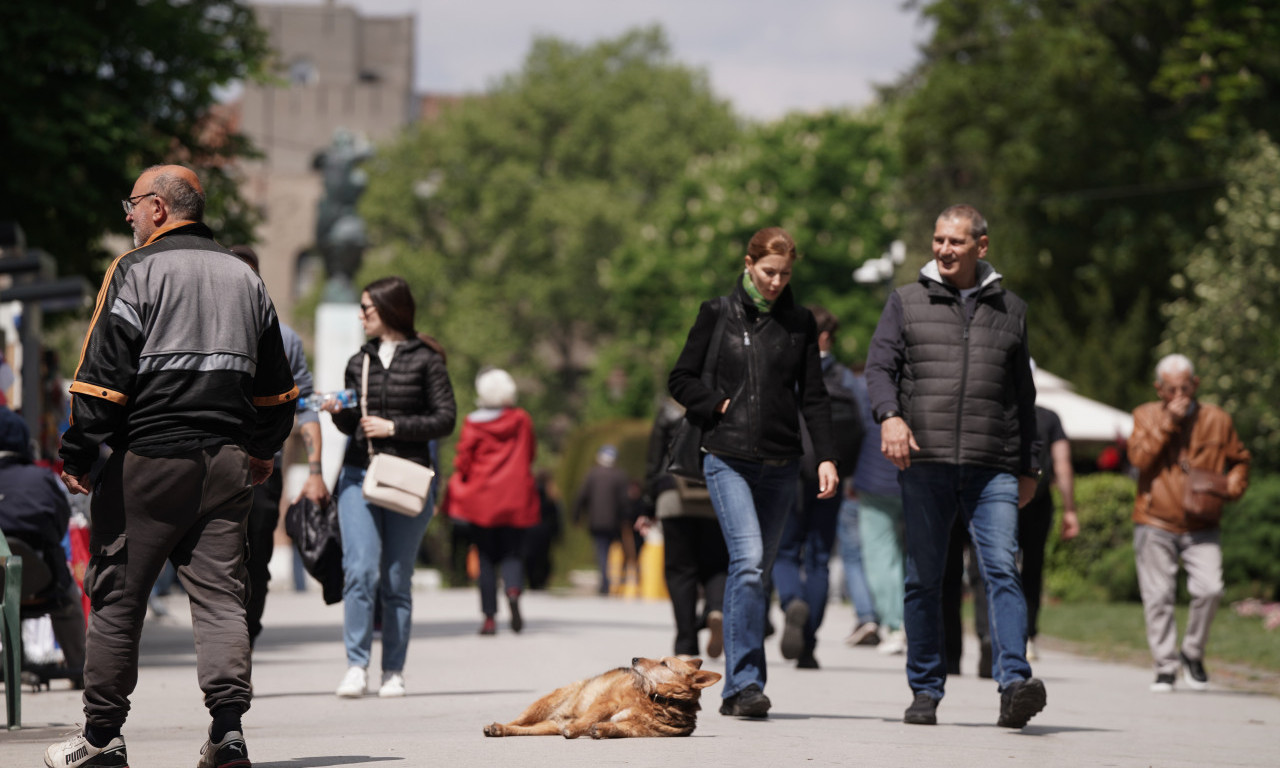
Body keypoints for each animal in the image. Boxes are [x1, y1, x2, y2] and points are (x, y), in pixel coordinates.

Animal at [481, 652, 721, 737]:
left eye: (664, 663)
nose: (634, 659)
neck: (654, 700)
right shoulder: (608, 701)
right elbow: (590, 718)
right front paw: (577, 729)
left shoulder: (638, 730)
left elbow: (616, 728)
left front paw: (602, 730)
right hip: (542, 705)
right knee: (518, 721)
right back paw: (496, 726)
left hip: (547, 726)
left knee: (524, 729)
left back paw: (501, 730)